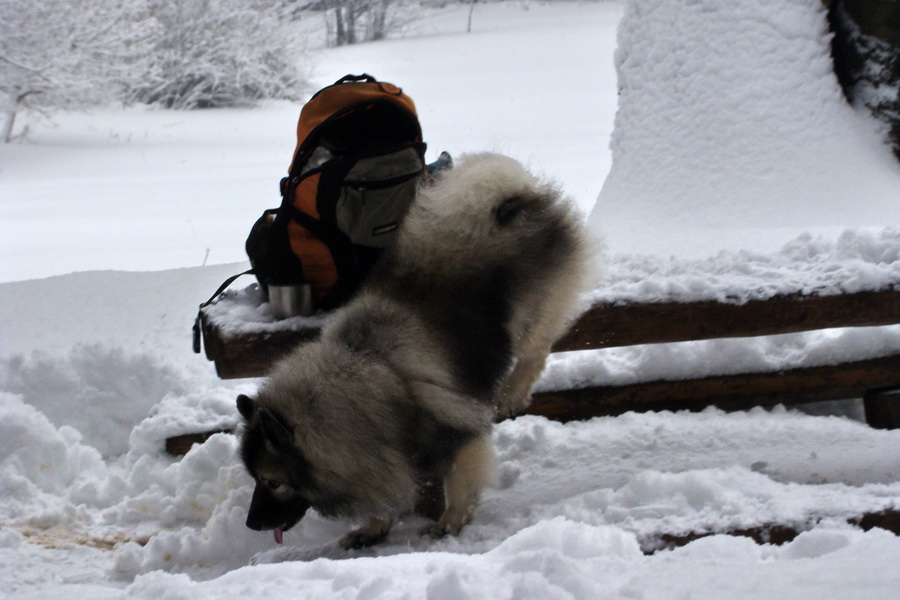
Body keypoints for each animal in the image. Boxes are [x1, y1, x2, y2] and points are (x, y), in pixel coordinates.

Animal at [236, 154, 596, 548]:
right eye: (255, 480)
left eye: (273, 481)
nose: (251, 523)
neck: (372, 369)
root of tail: (516, 197)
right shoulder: (386, 456)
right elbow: (393, 489)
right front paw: (373, 527)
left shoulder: (458, 434)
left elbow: (460, 483)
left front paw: (450, 523)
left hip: (532, 312)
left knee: (536, 352)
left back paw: (510, 394)